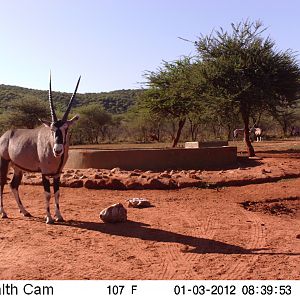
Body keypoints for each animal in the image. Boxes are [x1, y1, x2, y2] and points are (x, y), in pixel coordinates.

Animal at [0, 76, 81, 224]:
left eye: (66, 128)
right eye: (52, 129)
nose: (57, 150)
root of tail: (5, 135)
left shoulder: (57, 173)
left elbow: (57, 193)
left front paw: (59, 216)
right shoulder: (45, 173)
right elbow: (47, 194)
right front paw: (49, 218)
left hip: (17, 168)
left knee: (13, 185)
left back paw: (25, 212)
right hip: (4, 163)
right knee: (2, 184)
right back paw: (3, 213)